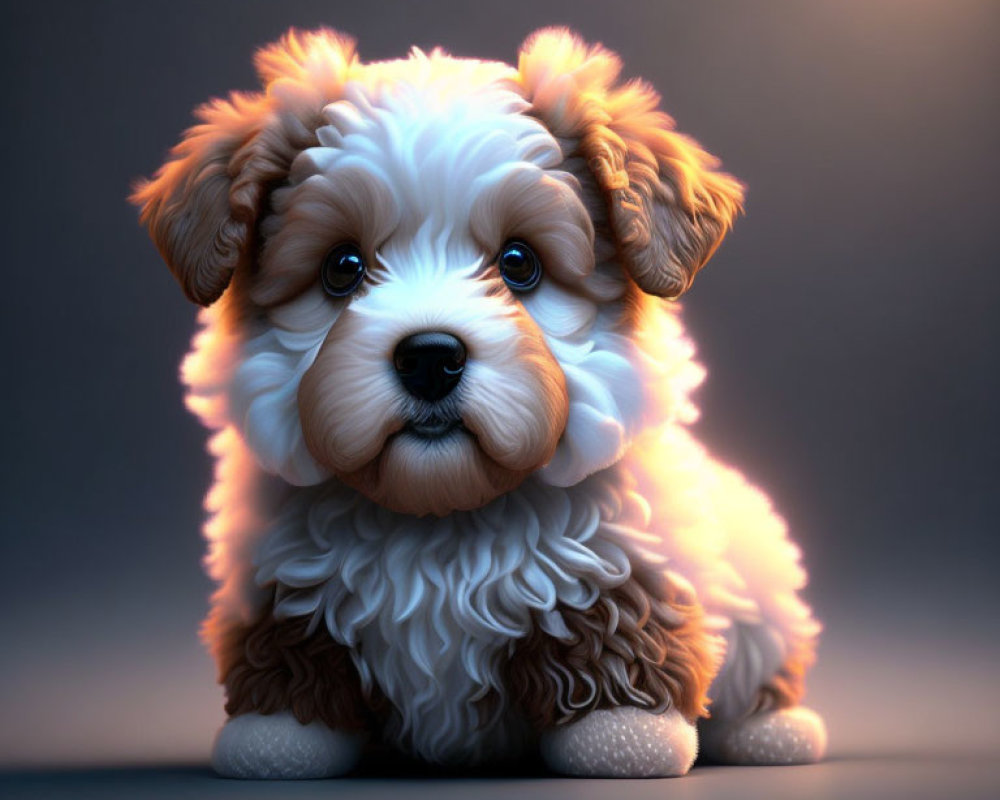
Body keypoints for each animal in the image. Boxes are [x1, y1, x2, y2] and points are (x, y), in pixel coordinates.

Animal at [133, 29, 828, 776]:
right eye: (342, 268)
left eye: (520, 262)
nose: (430, 358)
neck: (441, 514)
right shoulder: (277, 578)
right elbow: (290, 649)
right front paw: (276, 739)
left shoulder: (617, 559)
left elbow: (615, 629)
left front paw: (626, 737)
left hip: (761, 583)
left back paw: (774, 730)